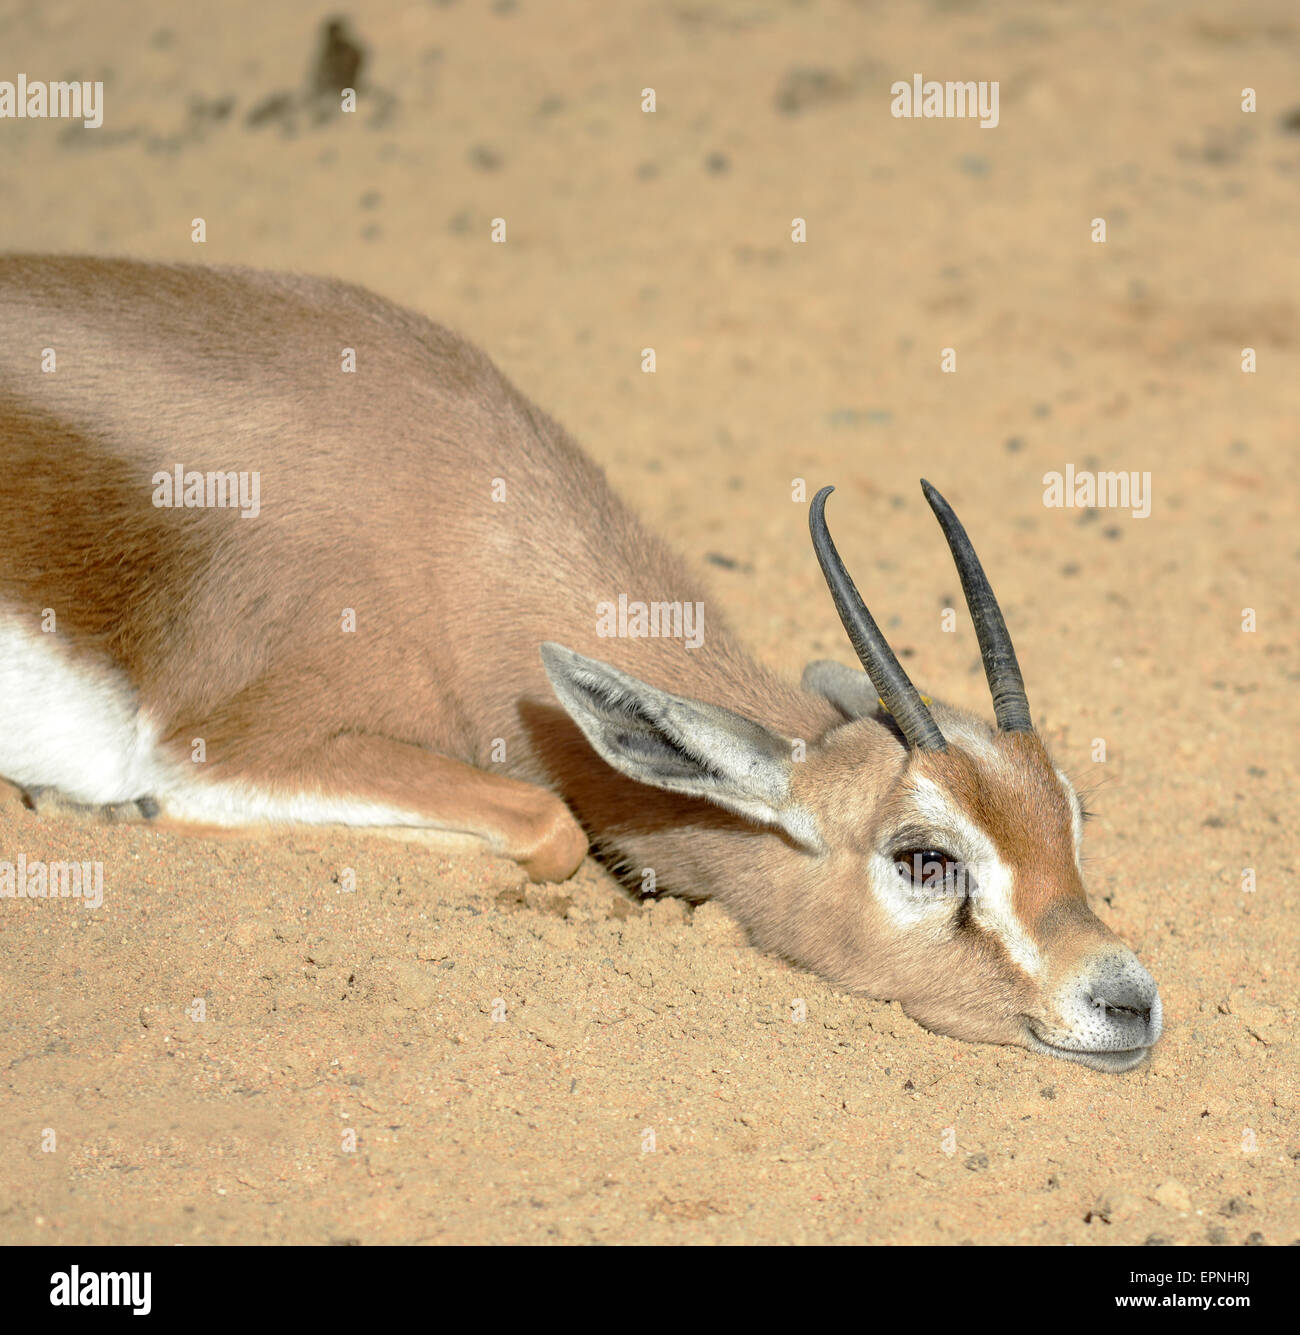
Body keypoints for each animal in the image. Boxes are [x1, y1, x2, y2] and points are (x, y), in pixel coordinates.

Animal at [0, 255, 1162, 1072]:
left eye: (1070, 817)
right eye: (924, 858)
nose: (1127, 1000)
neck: (444, 519)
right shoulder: (225, 745)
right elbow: (549, 824)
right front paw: (100, 810)